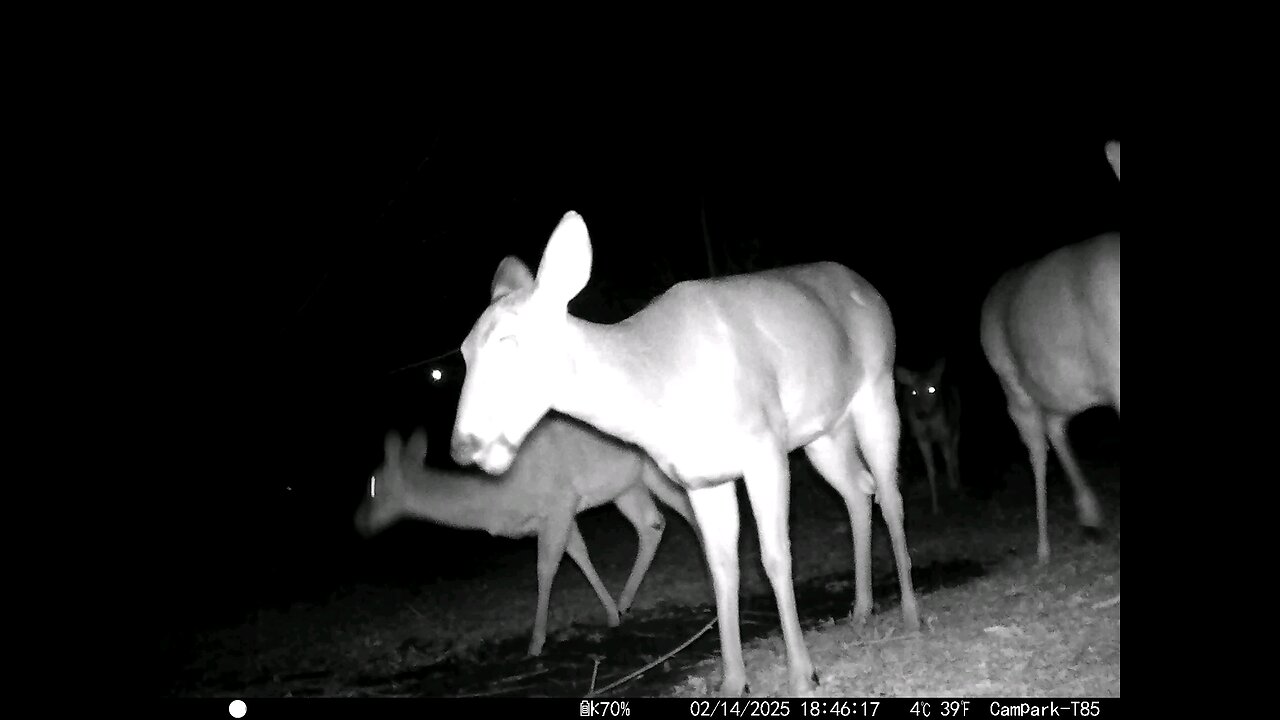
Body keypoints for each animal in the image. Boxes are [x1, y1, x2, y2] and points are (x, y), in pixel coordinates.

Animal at [353, 415, 695, 657]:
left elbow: (545, 568)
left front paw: (535, 643)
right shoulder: (557, 514)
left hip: (656, 469)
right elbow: (579, 554)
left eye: (373, 485)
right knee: (652, 524)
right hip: (627, 484)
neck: (499, 497)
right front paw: (612, 614)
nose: (359, 523)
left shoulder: (559, 501)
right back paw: (626, 601)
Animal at [449, 211, 920, 697]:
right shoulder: (702, 477)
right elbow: (721, 566)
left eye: (508, 341)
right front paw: (733, 681)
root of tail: (870, 290)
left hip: (876, 387)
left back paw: (910, 614)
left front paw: (802, 674)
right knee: (857, 490)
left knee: (890, 493)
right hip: (822, 432)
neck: (661, 387)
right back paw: (861, 609)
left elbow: (774, 556)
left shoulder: (763, 446)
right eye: (463, 351)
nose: (462, 446)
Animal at [894, 357, 961, 515]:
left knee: (955, 456)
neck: (929, 423)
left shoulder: (945, 433)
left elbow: (949, 460)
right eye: (913, 392)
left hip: (956, 427)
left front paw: (953, 486)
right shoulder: (922, 439)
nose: (920, 414)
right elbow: (931, 470)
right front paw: (935, 507)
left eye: (932, 389)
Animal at [979, 140, 1120, 564]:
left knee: (1057, 428)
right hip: (1014, 390)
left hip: (1065, 390)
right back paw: (1043, 549)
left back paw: (1090, 515)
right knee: (1037, 453)